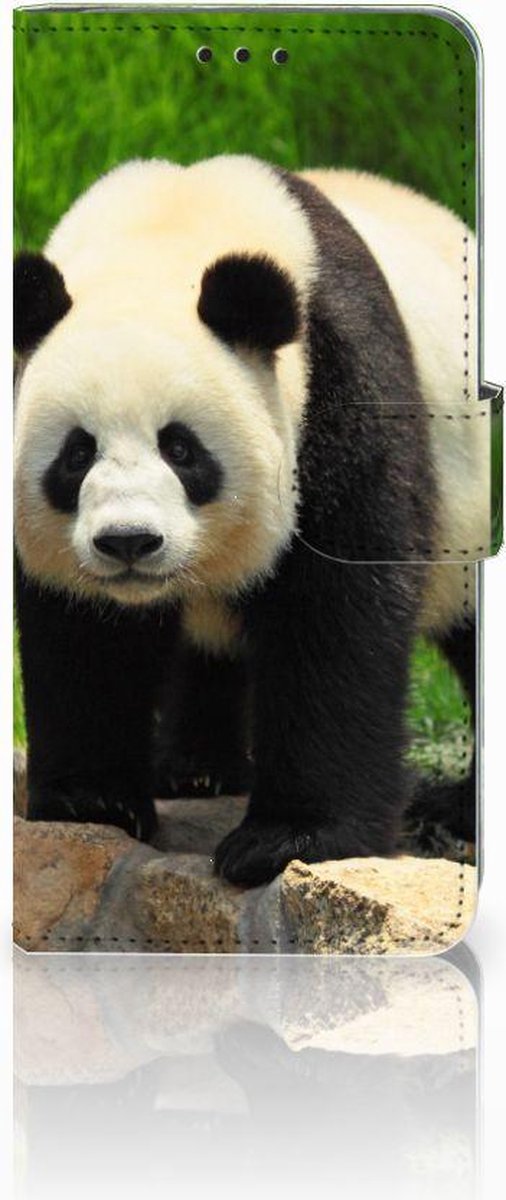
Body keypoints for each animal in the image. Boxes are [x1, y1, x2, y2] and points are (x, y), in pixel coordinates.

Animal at [14, 154, 488, 886]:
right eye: (76, 453)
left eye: (181, 449)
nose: (129, 542)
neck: (167, 232)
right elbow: (82, 632)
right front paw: (91, 801)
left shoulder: (340, 383)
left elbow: (337, 612)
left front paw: (288, 838)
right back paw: (195, 770)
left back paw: (457, 809)